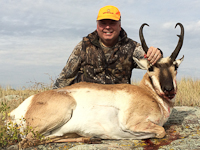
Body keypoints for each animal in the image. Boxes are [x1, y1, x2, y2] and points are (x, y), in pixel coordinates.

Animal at [8, 22, 184, 148]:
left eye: (175, 67)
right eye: (151, 68)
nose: (169, 90)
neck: (148, 93)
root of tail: (18, 110)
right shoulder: (132, 123)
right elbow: (161, 131)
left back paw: (88, 138)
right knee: (28, 142)